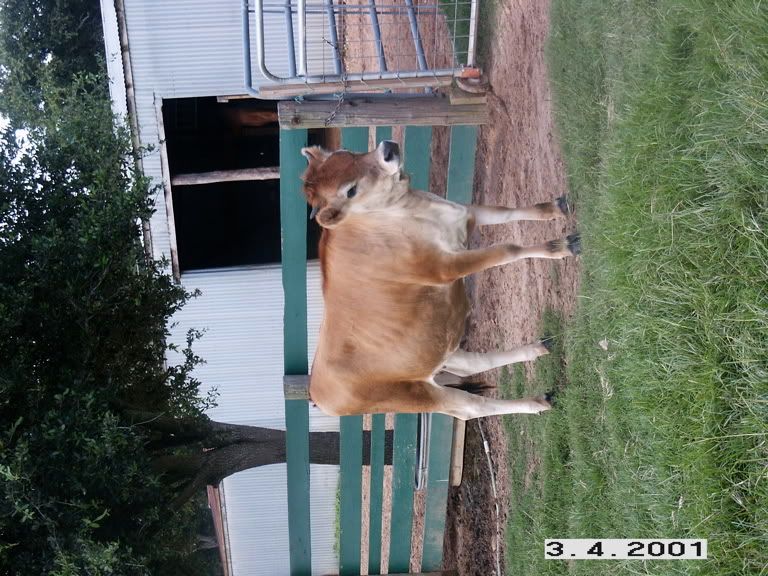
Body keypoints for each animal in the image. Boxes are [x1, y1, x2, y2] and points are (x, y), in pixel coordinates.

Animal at [301, 140, 580, 421]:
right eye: (350, 191)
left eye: (346, 153)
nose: (387, 149)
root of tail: (316, 392)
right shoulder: (444, 267)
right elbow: (506, 249)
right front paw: (561, 247)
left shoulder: (468, 212)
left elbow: (509, 213)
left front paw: (556, 208)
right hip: (417, 394)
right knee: (472, 406)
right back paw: (538, 402)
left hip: (438, 351)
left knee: (472, 365)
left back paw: (539, 348)